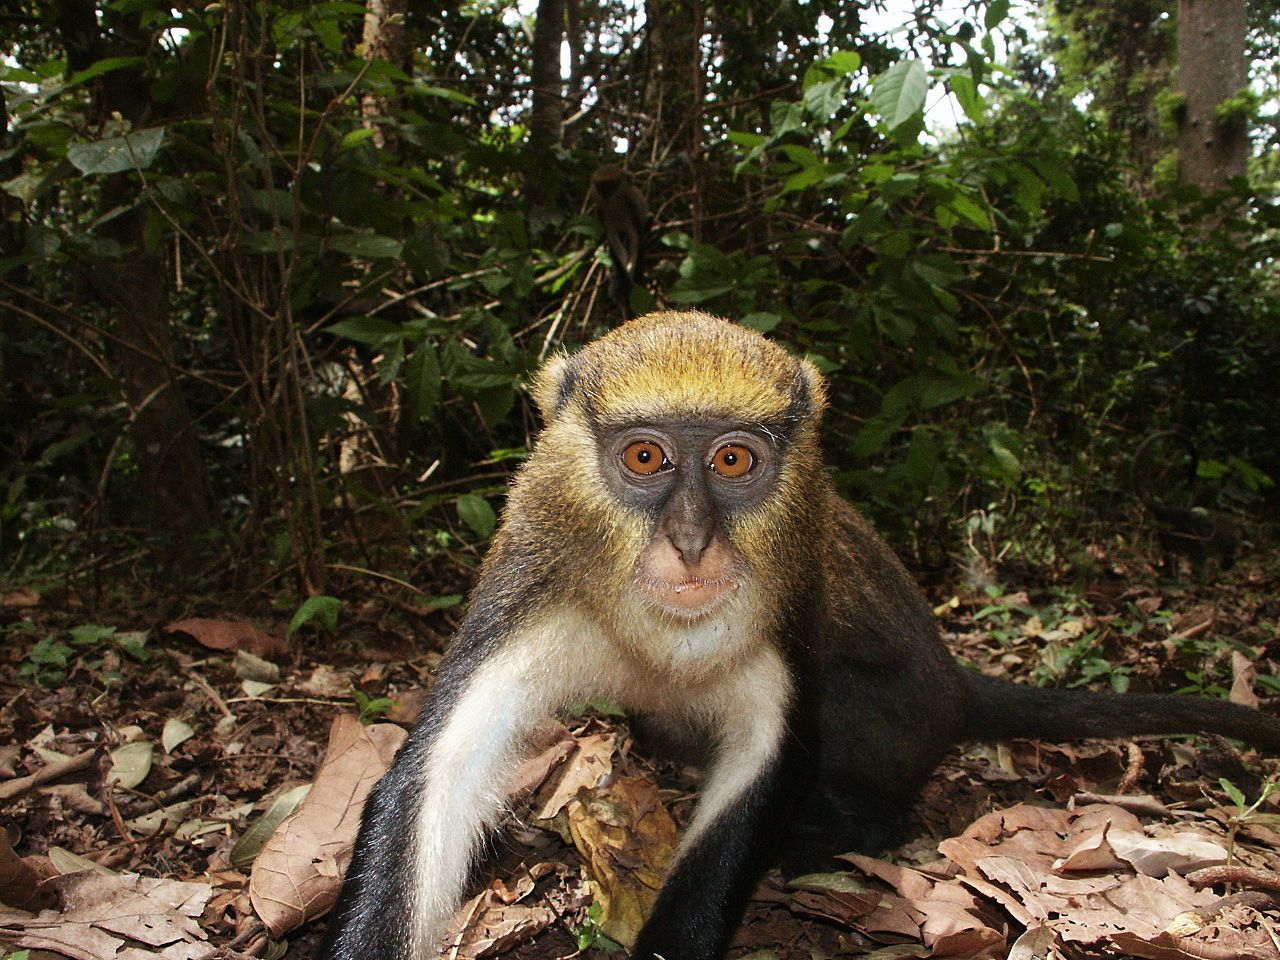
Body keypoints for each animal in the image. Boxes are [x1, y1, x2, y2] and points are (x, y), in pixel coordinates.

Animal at [321, 312, 1280, 960]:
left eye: (734, 460)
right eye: (645, 458)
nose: (691, 542)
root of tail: (953, 682)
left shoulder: (788, 616)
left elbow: (768, 764)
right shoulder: (531, 581)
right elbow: (435, 774)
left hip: (896, 718)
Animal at [591, 165, 651, 317]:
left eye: (611, 185)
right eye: (601, 186)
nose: (605, 194)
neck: (614, 205)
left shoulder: (631, 209)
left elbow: (636, 239)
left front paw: (631, 284)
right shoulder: (603, 214)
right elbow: (612, 241)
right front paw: (623, 282)